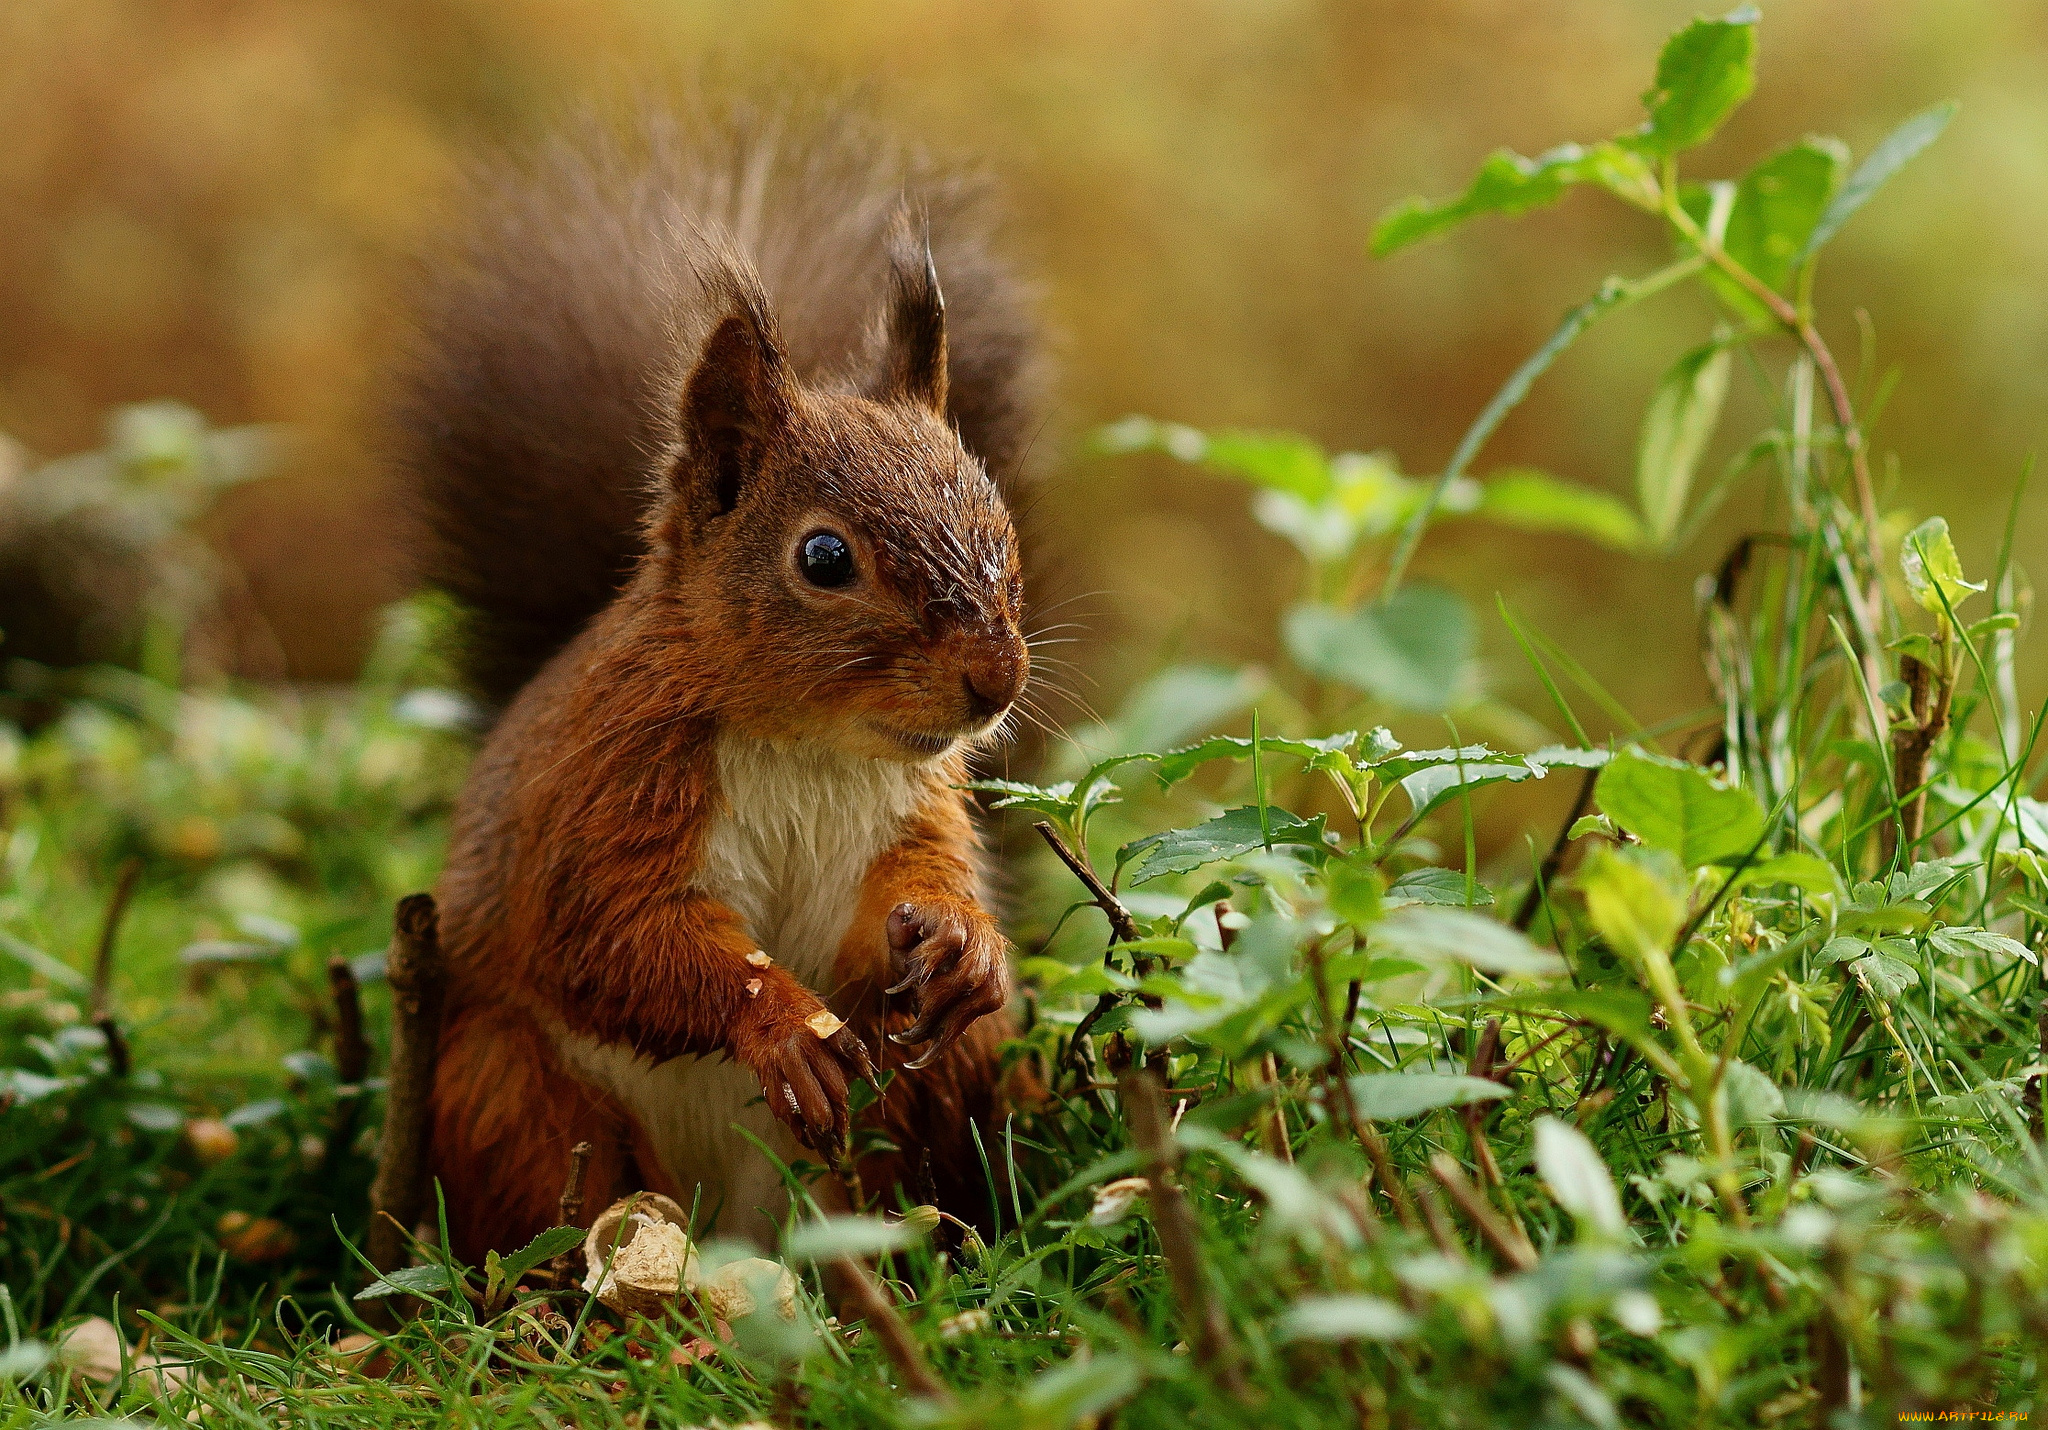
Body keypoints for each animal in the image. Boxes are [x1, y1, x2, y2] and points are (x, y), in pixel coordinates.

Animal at [393, 106, 1048, 1253]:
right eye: (823, 558)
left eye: (999, 526)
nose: (995, 679)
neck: (809, 746)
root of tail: (729, 1218)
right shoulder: (603, 793)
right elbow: (618, 938)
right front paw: (778, 1021)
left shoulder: (912, 806)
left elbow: (910, 893)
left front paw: (964, 942)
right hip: (508, 1092)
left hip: (919, 1097)